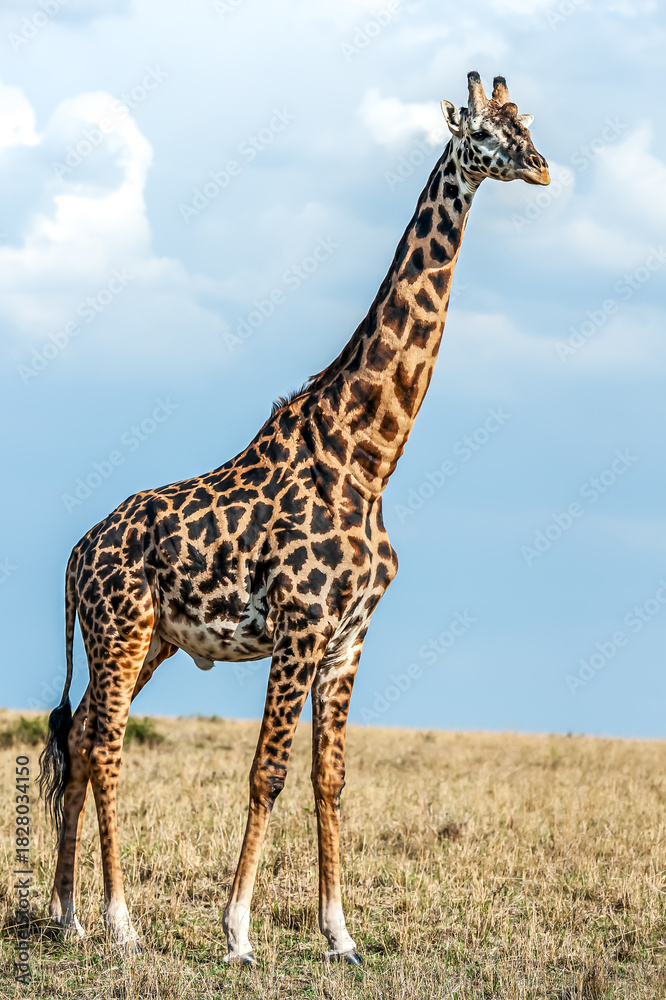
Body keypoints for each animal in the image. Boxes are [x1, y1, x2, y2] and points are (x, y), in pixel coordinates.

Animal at [39, 71, 549, 964]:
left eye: (526, 122)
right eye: (485, 131)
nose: (544, 167)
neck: (367, 458)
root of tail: (75, 554)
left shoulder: (348, 637)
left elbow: (328, 778)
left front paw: (340, 934)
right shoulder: (301, 626)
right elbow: (267, 772)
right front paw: (238, 933)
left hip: (149, 640)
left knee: (81, 740)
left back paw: (69, 914)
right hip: (120, 629)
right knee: (103, 745)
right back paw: (118, 921)